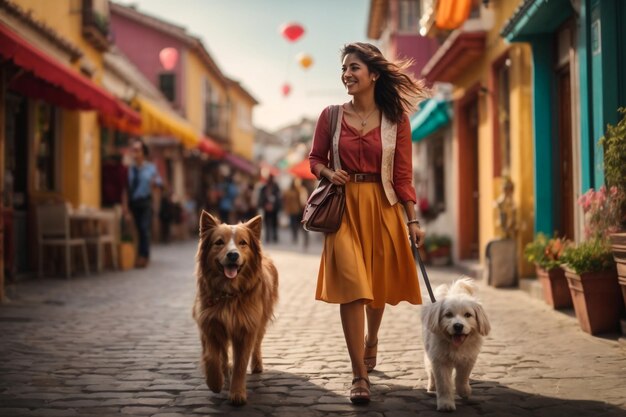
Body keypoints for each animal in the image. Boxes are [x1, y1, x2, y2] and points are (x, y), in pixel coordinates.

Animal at [191, 211, 276, 404]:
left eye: (242, 242)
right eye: (219, 242)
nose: (232, 255)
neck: (228, 295)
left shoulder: (246, 328)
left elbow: (240, 364)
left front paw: (237, 393)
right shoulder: (210, 324)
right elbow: (212, 357)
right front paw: (216, 382)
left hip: (261, 321)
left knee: (257, 344)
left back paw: (257, 365)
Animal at [420, 278, 488, 412]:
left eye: (468, 315)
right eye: (448, 315)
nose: (458, 326)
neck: (456, 346)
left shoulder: (468, 359)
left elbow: (462, 377)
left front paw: (464, 391)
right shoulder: (440, 361)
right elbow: (444, 384)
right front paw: (445, 403)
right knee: (430, 370)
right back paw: (432, 385)